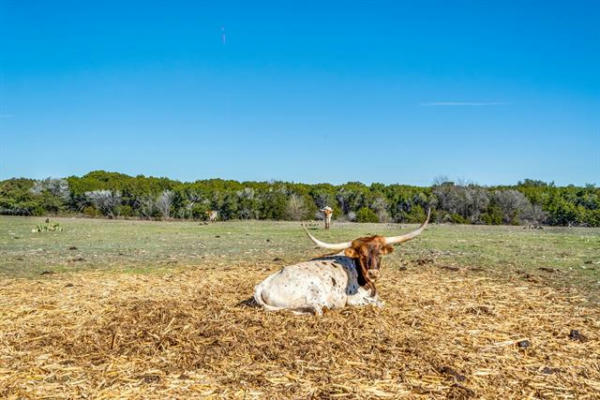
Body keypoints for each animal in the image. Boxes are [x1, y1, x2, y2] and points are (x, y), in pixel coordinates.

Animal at [254, 209, 432, 316]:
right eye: (361, 254)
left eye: (380, 252)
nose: (373, 273)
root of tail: (262, 285)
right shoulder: (354, 299)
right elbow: (379, 303)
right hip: (313, 295)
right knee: (317, 310)